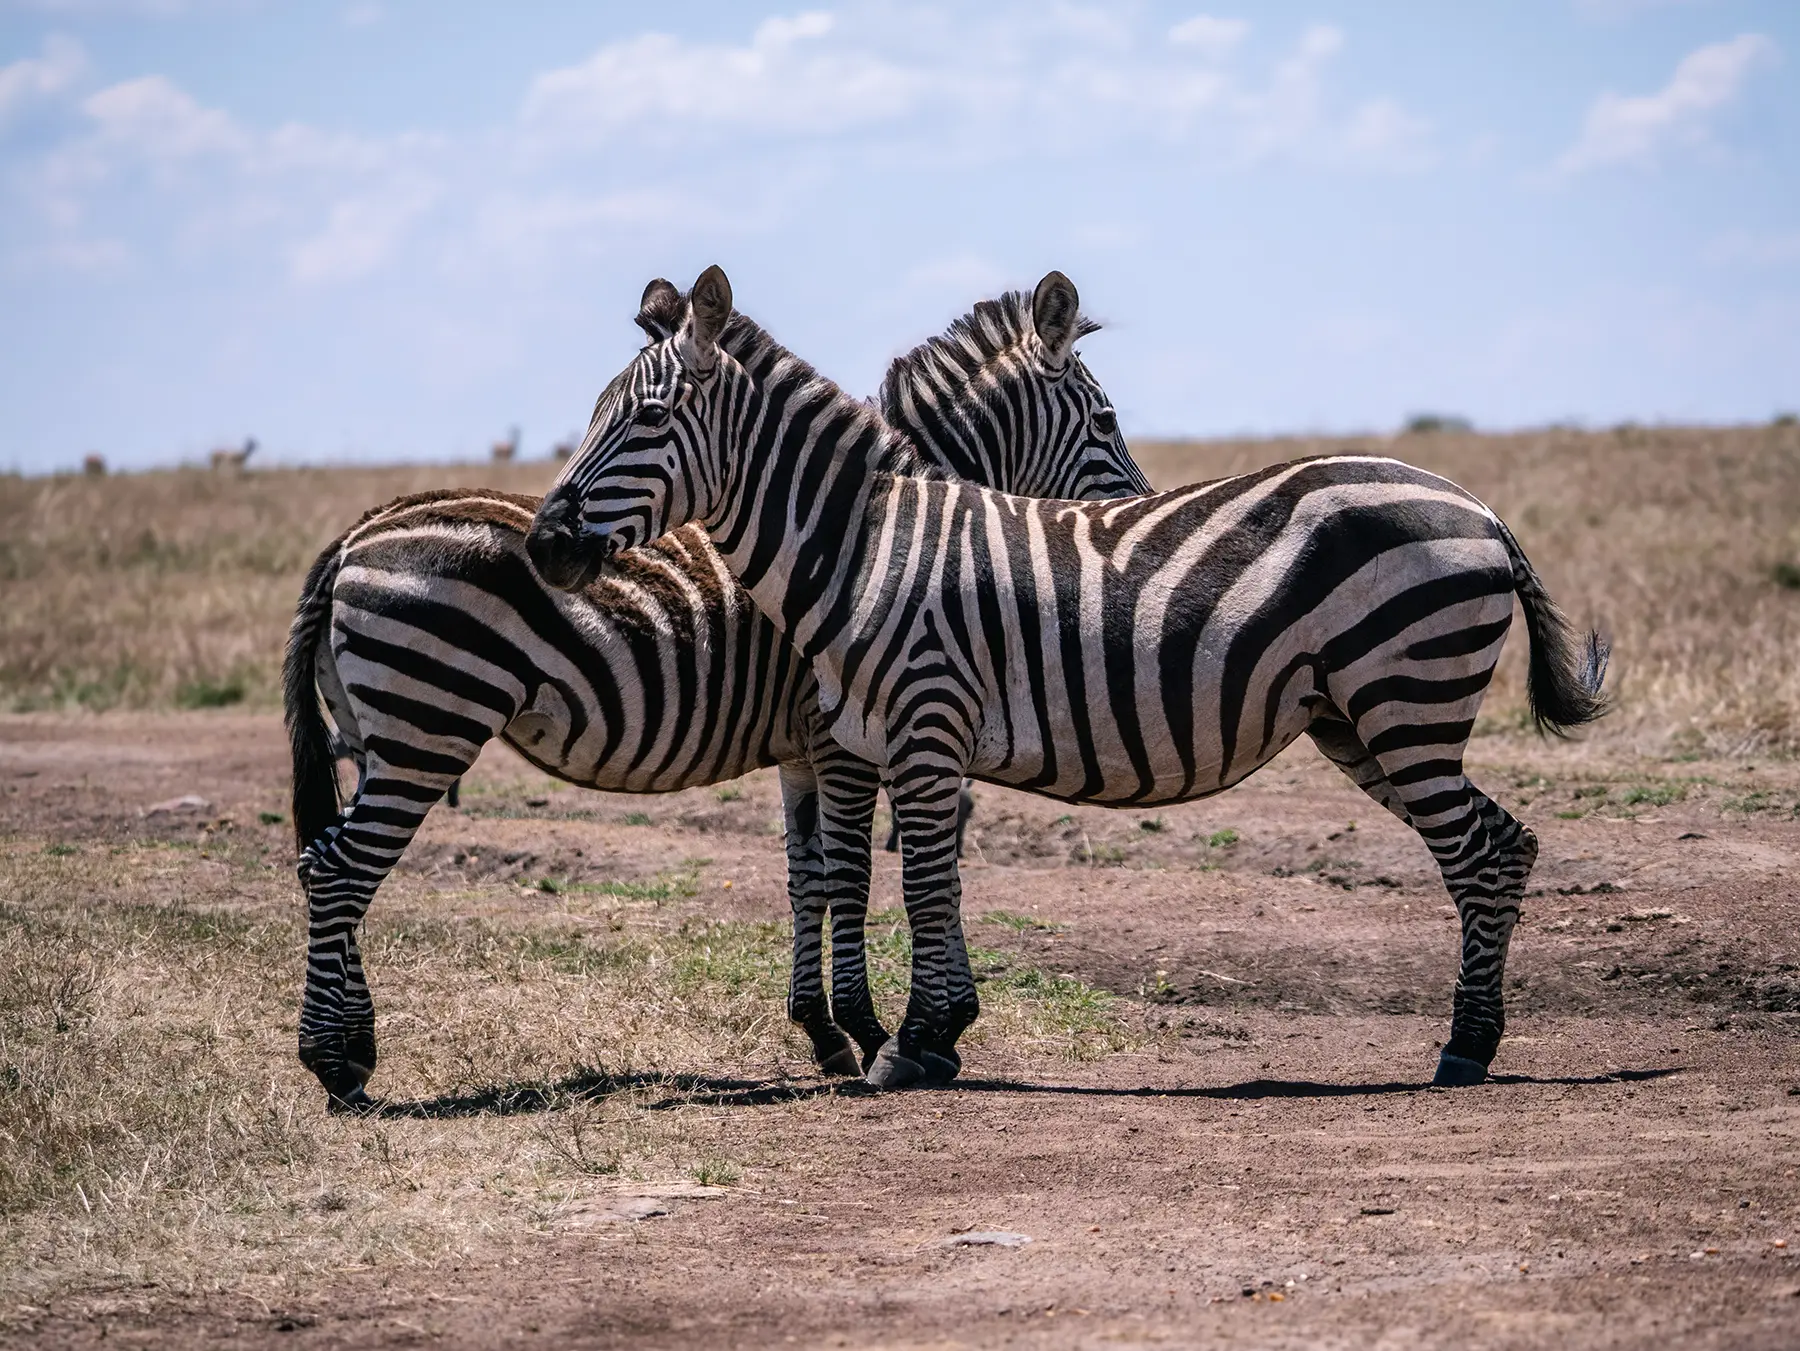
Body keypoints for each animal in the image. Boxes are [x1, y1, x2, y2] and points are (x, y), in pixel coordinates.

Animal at [285, 274, 1148, 1109]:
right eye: (1107, 419)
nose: (1136, 509)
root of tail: (353, 534)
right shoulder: (845, 737)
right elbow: (857, 874)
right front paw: (879, 1030)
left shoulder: (805, 747)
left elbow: (809, 878)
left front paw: (827, 1031)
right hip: (427, 724)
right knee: (342, 871)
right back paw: (333, 1063)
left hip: (377, 735)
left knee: (324, 860)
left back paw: (353, 1046)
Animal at [528, 265, 1609, 1092]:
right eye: (595, 416)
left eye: (647, 419)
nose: (544, 547)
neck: (864, 545)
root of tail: (1474, 503)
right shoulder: (876, 738)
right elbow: (890, 877)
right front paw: (921, 1032)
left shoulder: (919, 721)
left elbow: (915, 883)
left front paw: (908, 1043)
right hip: (1360, 717)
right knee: (1504, 843)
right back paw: (1473, 1038)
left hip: (1404, 699)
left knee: (1480, 851)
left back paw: (1465, 1048)